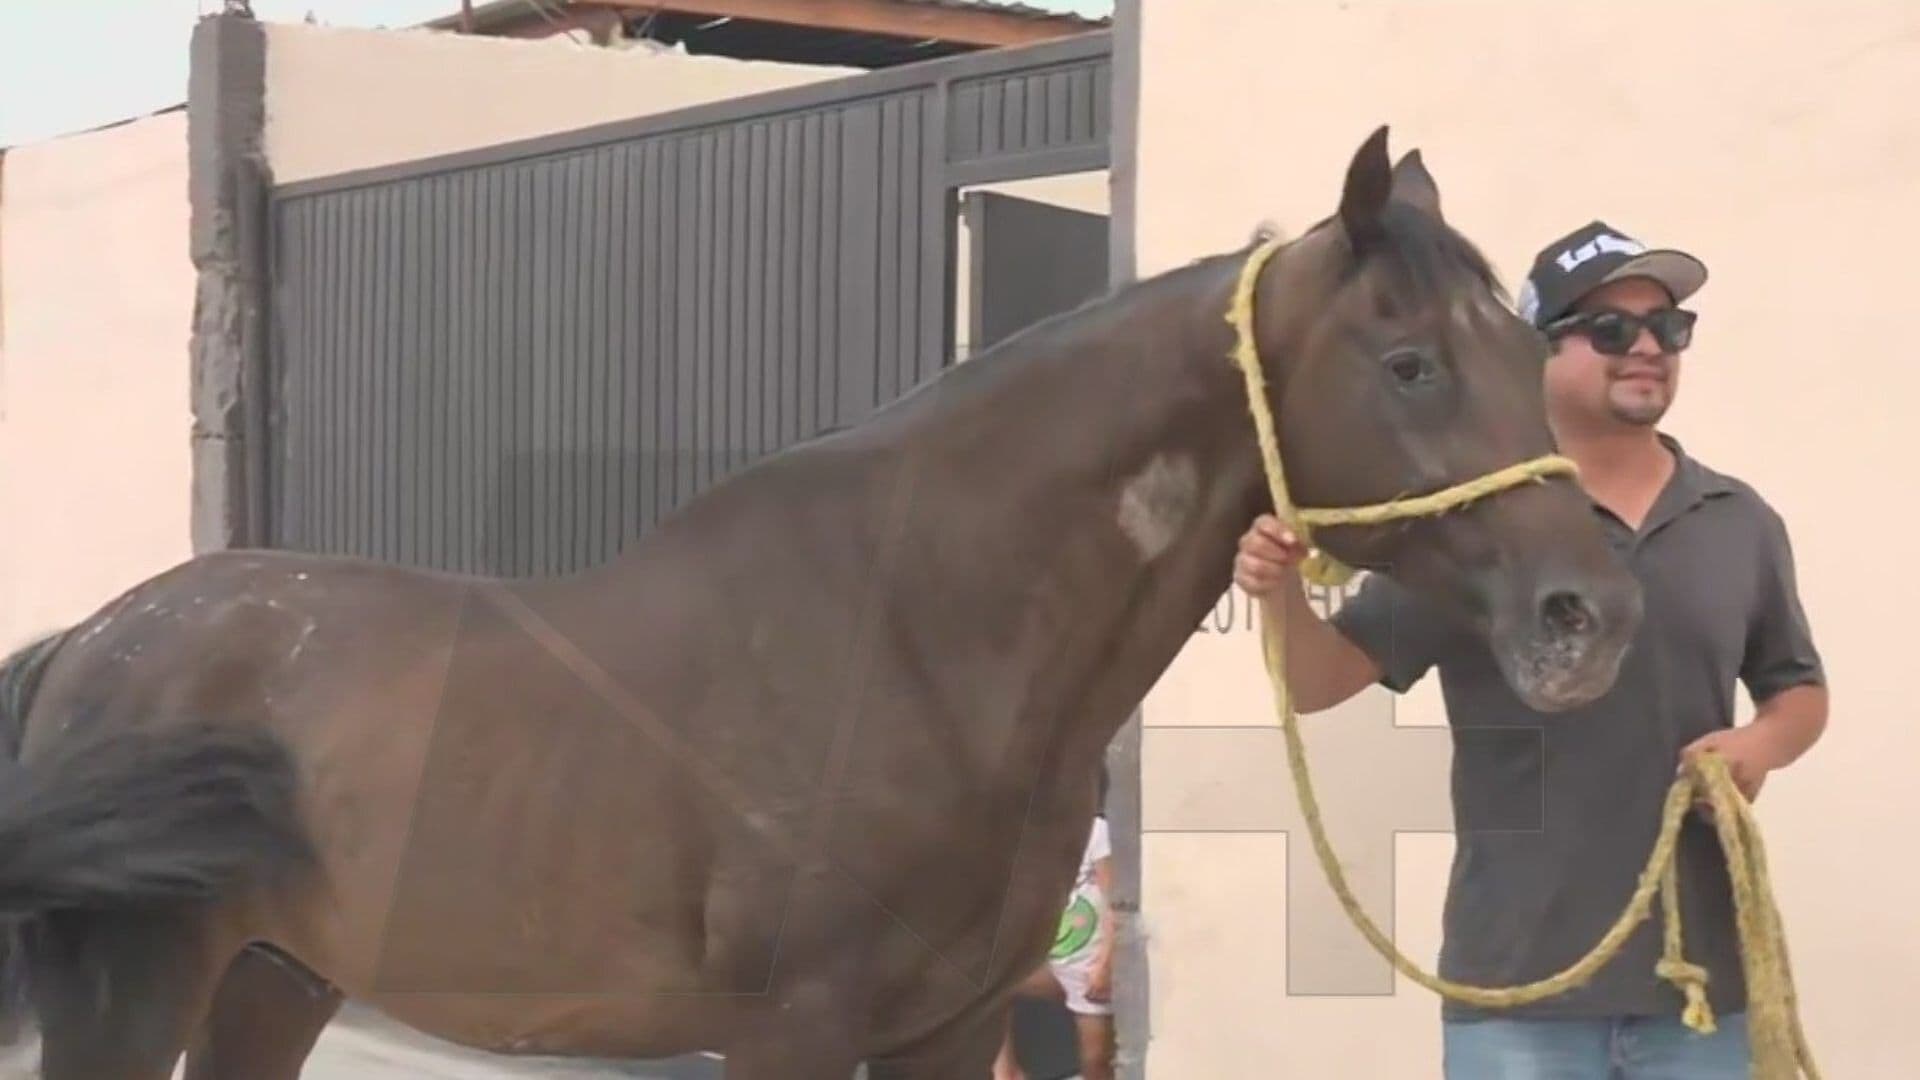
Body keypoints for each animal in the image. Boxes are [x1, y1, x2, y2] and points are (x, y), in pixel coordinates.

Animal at [0, 126, 1642, 1079]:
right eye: (1410, 362)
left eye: (1531, 347)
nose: (1593, 612)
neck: (915, 641)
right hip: (133, 995)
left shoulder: (954, 1030)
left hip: (273, 986)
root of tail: (95, 644)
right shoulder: (788, 1034)